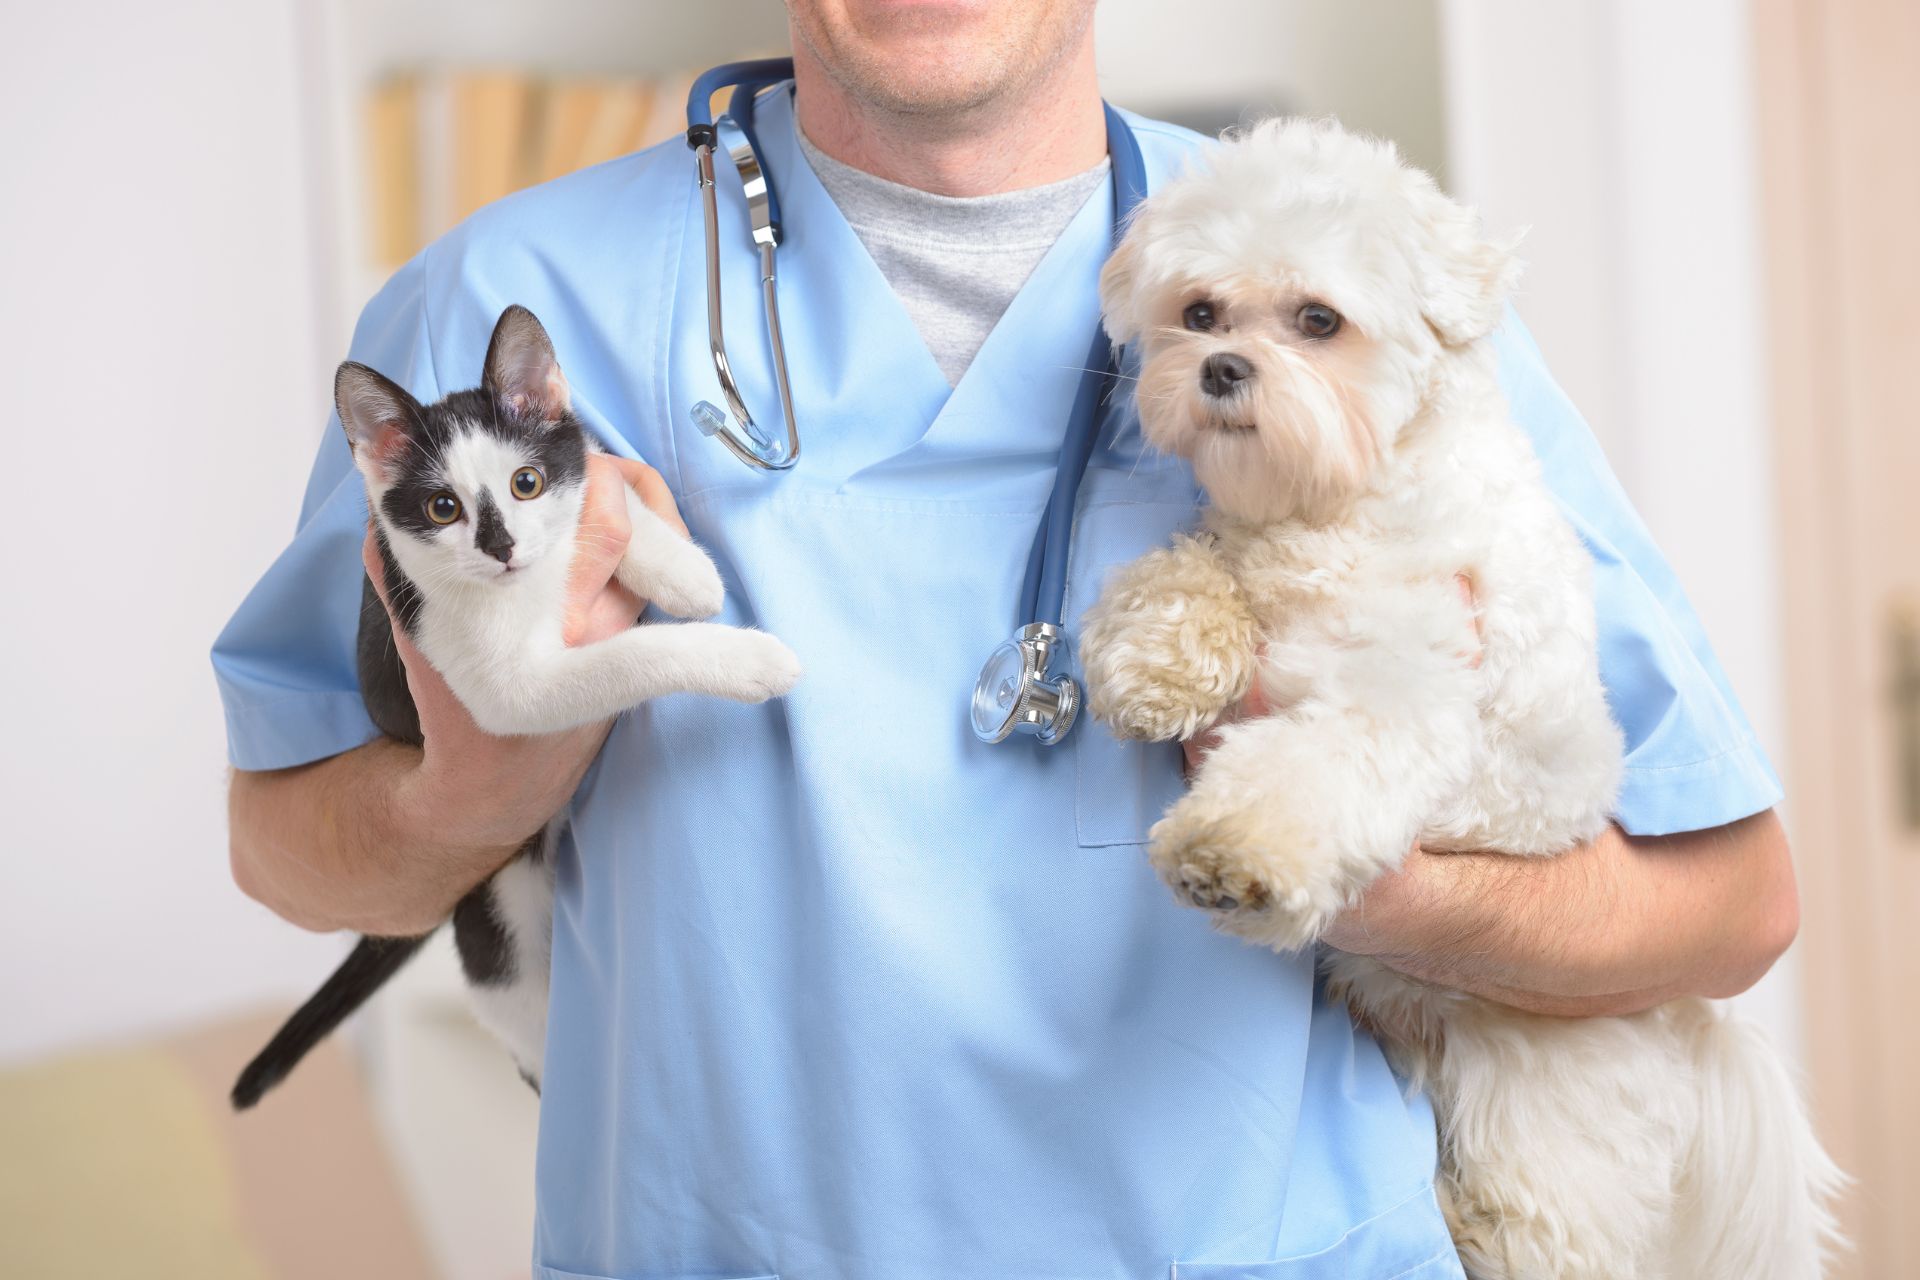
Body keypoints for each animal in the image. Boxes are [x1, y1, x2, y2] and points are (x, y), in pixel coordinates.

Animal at [228, 305, 798, 1105]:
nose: (502, 548)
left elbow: (601, 486)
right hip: (504, 934)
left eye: (526, 483)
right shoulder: (494, 679)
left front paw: (681, 569)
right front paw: (747, 659)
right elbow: (630, 657)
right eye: (443, 508)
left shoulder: (583, 462)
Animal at [1082, 119, 1843, 1280]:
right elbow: (1189, 570)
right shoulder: (1239, 552)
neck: (1333, 502)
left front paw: (1234, 852)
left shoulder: (1403, 689)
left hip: (1532, 1083)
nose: (1218, 367)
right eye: (1200, 311)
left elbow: (1308, 769)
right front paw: (1151, 657)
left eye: (1318, 320)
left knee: (1559, 1219)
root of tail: (1677, 1020)